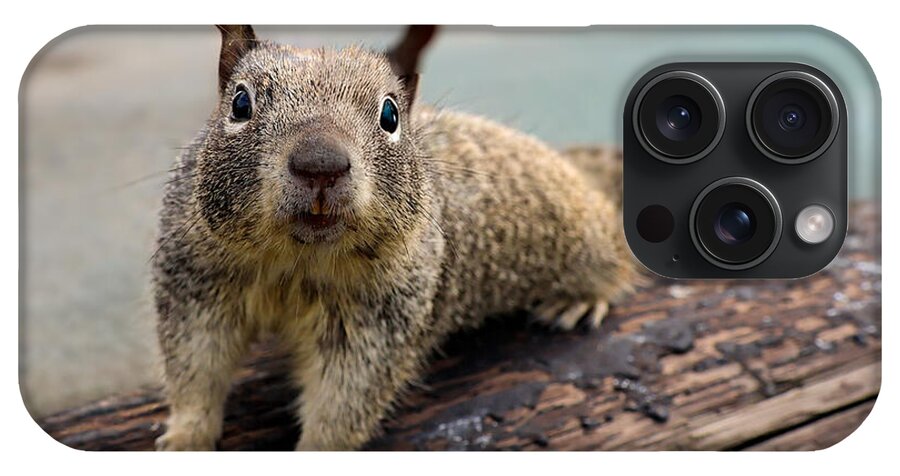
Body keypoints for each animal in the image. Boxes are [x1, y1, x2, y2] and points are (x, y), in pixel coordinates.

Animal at [153, 25, 637, 451]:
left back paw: (579, 300)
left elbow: (344, 401)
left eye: (390, 115)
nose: (321, 165)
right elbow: (196, 370)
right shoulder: (196, 284)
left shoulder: (378, 321)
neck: (298, 260)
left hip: (585, 236)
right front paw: (184, 439)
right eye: (240, 103)